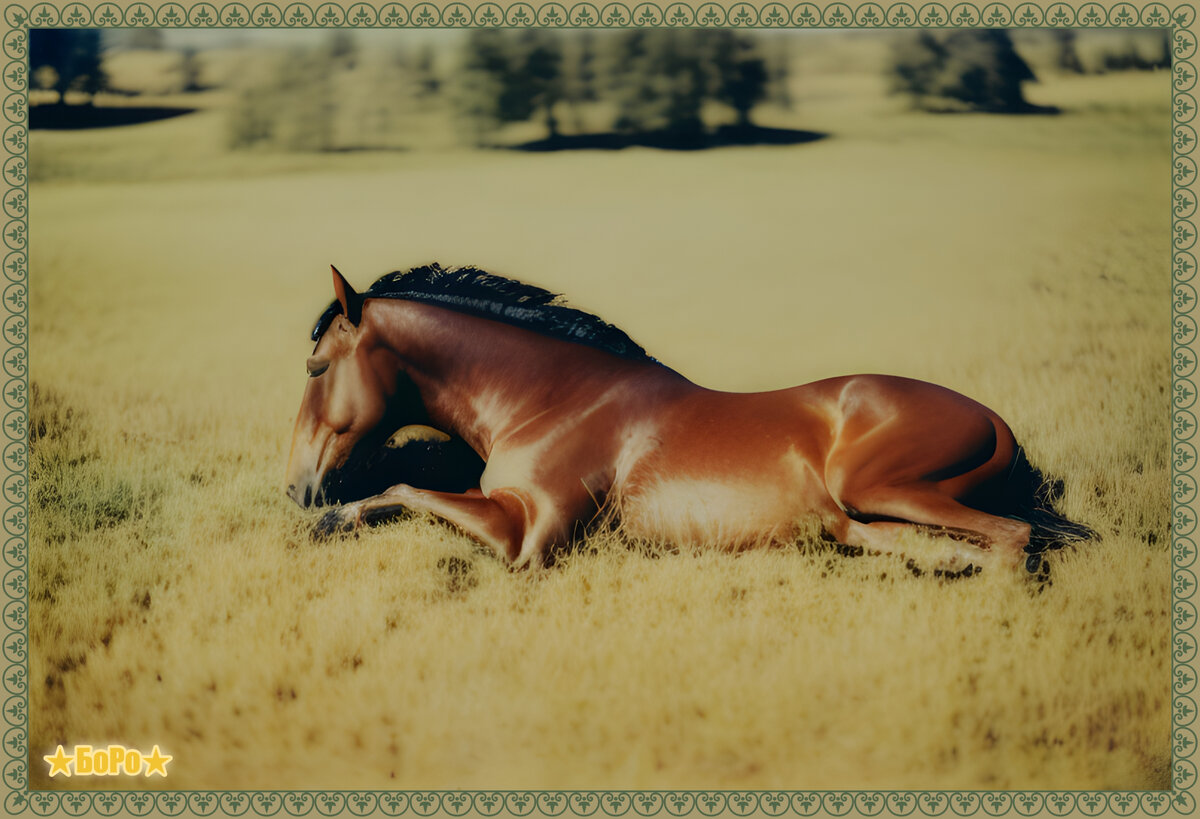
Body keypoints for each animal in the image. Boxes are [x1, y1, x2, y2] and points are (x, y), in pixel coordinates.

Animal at [285, 264, 1094, 571]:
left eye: (316, 368)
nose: (297, 488)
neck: (547, 399)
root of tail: (997, 422)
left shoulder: (529, 539)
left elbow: (407, 491)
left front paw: (331, 520)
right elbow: (406, 492)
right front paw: (331, 520)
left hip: (880, 488)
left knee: (1014, 542)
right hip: (865, 522)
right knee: (967, 550)